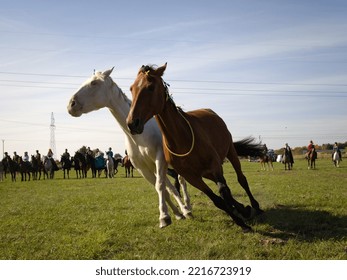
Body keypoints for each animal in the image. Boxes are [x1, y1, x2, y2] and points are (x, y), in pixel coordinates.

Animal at [126, 63, 266, 232]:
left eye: (150, 87)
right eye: (132, 88)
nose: (132, 123)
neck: (181, 139)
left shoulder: (214, 165)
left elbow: (223, 191)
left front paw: (242, 216)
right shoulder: (192, 177)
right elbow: (217, 199)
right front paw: (240, 219)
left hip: (230, 152)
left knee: (241, 179)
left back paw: (254, 206)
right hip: (206, 173)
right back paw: (241, 208)